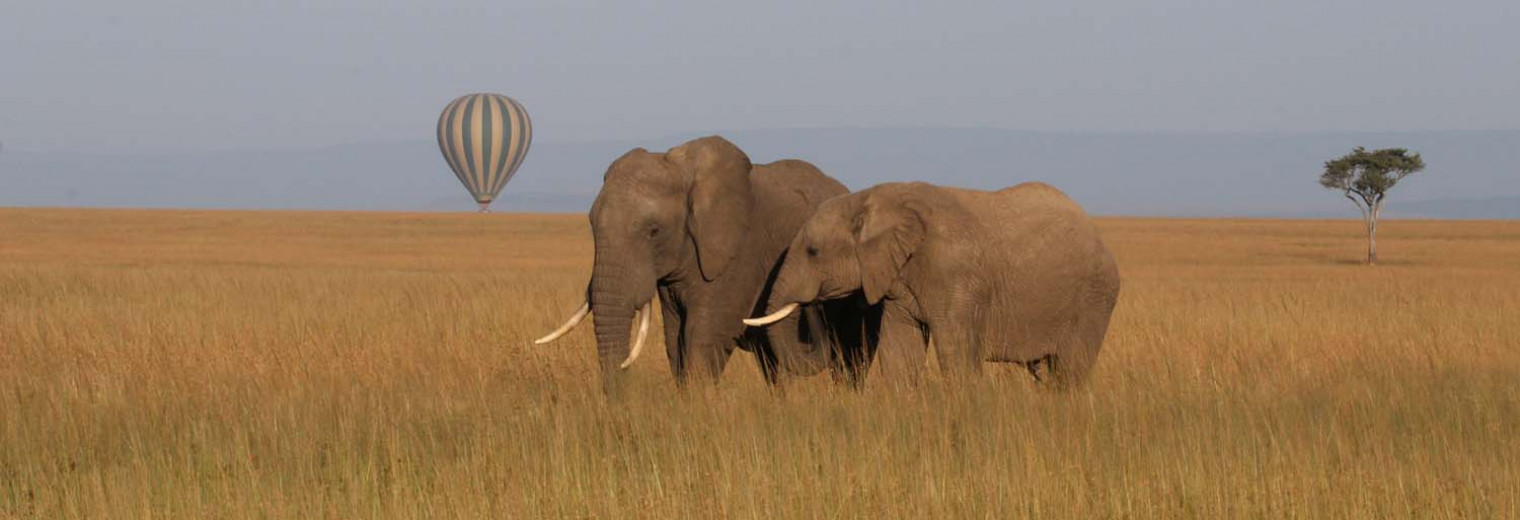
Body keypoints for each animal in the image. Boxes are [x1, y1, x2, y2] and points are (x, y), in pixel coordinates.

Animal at [744, 180, 1118, 387]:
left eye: (812, 251)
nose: (814, 304)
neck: (874, 199)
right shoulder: (897, 281)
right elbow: (899, 355)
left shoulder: (957, 277)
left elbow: (956, 356)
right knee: (1046, 372)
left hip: (1094, 299)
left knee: (1069, 372)